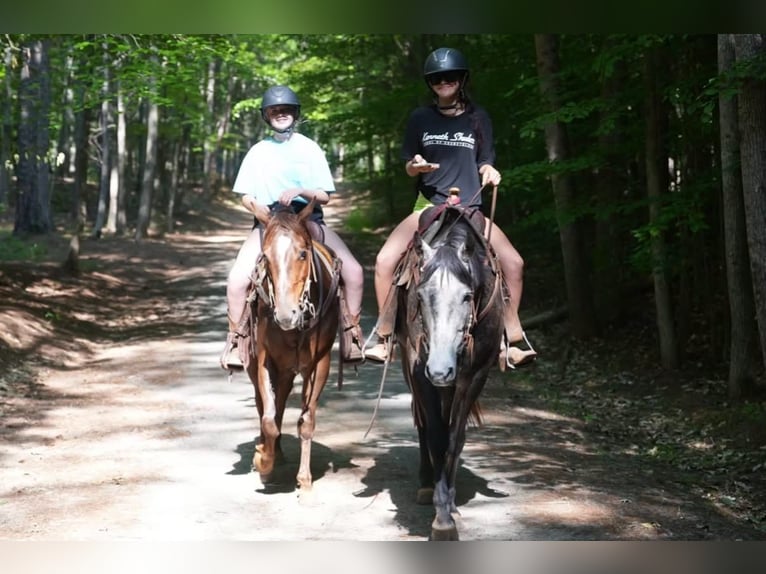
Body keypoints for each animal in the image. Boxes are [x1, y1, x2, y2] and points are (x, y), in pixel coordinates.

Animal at [243, 199, 341, 492]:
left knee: (281, 403)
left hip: (289, 370)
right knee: (266, 407)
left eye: (303, 254)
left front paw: (304, 479)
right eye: (265, 256)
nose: (286, 315)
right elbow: (269, 419)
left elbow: (306, 421)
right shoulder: (265, 361)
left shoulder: (319, 363)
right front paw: (263, 462)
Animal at [394, 205, 505, 540]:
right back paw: (426, 484)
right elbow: (436, 436)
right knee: (422, 422)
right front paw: (441, 517)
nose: (440, 370)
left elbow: (455, 439)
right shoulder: (419, 371)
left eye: (467, 296)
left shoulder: (475, 375)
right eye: (420, 295)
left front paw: (449, 507)